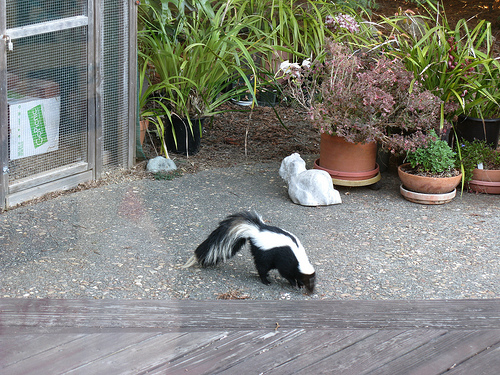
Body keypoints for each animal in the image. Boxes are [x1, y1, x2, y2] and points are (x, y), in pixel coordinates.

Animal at [184, 212, 316, 294]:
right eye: (308, 281)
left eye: (313, 281)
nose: (311, 291)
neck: (299, 258)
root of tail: (255, 230)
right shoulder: (286, 261)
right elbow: (286, 273)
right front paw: (294, 284)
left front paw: (299, 284)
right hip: (263, 254)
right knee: (261, 267)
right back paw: (265, 281)